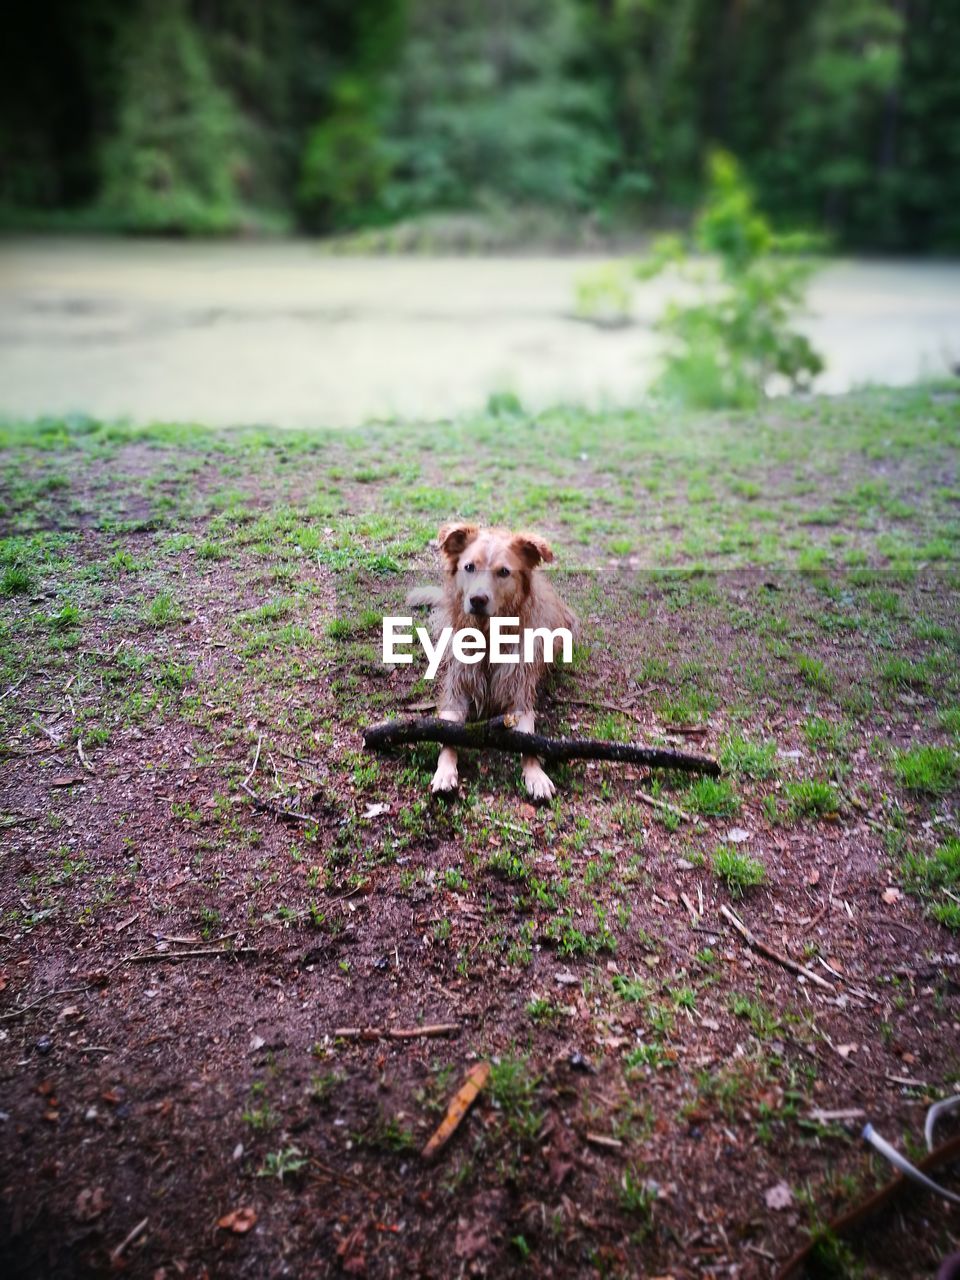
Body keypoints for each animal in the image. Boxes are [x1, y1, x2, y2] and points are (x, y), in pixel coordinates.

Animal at [407, 522, 578, 798]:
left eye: (504, 572)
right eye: (469, 567)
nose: (477, 599)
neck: (488, 636)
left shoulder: (520, 693)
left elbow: (529, 741)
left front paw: (536, 775)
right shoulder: (457, 690)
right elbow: (448, 734)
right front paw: (445, 772)